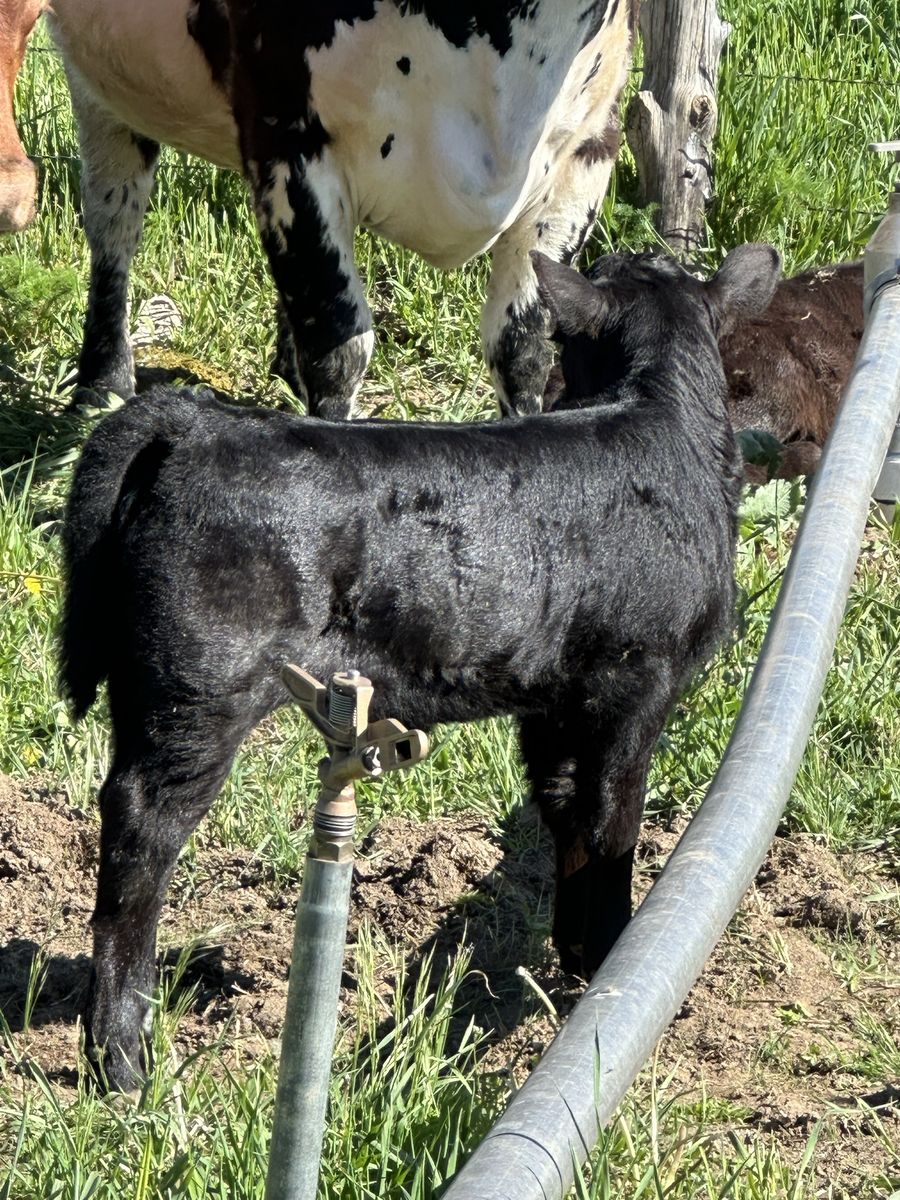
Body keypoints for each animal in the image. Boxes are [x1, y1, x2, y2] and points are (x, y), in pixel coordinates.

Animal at [47, 0, 635, 418]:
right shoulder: (292, 146)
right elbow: (338, 348)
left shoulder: (588, 150)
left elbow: (523, 347)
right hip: (99, 74)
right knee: (113, 218)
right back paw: (102, 386)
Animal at [60, 242, 781, 1090]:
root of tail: (195, 418)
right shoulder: (640, 680)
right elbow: (612, 818)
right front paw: (614, 966)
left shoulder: (554, 696)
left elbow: (565, 805)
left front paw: (575, 964)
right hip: (200, 684)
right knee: (142, 828)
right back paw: (122, 1057)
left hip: (150, 680)